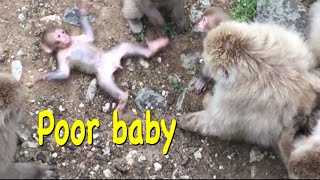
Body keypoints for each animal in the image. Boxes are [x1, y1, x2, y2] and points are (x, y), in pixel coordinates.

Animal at [33, 0, 170, 112]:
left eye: (62, 32)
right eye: (59, 36)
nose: (65, 36)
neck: (67, 46)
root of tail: (115, 64)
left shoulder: (77, 38)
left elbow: (90, 36)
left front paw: (83, 11)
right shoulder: (61, 57)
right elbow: (64, 73)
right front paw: (42, 77)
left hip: (116, 53)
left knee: (126, 46)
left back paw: (154, 47)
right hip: (104, 75)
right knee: (105, 84)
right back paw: (123, 98)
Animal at [178, 20, 320, 177]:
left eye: (210, 64)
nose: (206, 71)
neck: (252, 60)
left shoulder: (237, 100)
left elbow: (218, 123)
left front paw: (187, 118)